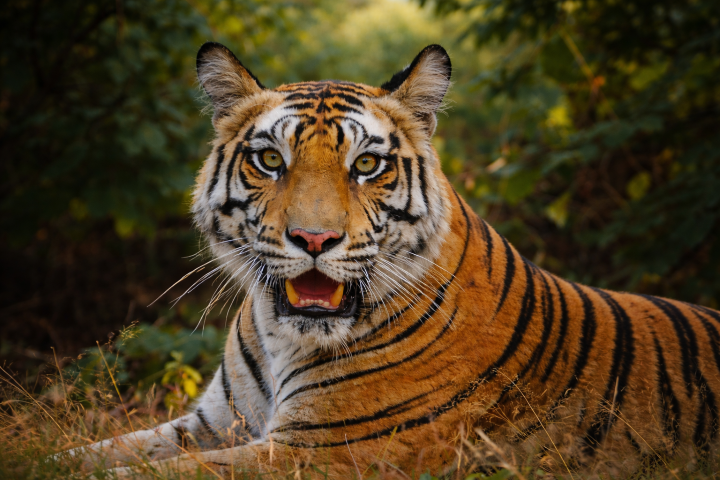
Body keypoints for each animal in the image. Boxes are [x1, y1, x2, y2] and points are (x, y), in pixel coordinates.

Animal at [67, 42, 720, 478]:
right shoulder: (214, 423)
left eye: (366, 165)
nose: (314, 239)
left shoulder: (322, 453)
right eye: (271, 160)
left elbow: (130, 472)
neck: (283, 336)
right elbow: (96, 452)